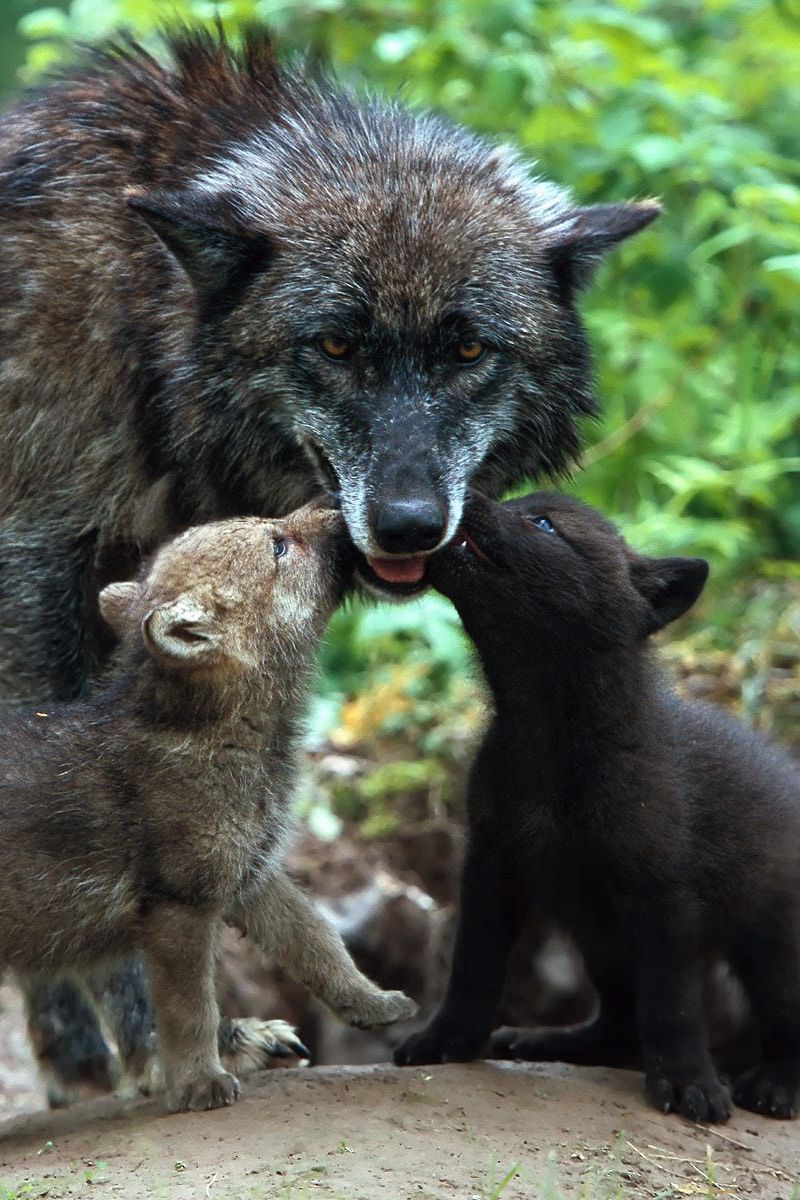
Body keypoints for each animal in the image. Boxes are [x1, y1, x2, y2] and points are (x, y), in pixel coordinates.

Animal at [0, 504, 415, 1112]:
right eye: (278, 546)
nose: (334, 507)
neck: (219, 734)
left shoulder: (252, 874)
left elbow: (320, 945)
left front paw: (375, 1002)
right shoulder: (180, 905)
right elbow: (189, 1007)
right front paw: (201, 1082)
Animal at [394, 492, 800, 1123]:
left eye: (542, 523)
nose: (468, 497)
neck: (551, 741)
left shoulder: (661, 893)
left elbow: (674, 1004)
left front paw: (688, 1083)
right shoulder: (491, 864)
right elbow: (472, 969)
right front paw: (446, 1039)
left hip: (773, 950)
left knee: (781, 1023)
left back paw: (776, 1084)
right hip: (599, 940)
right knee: (618, 1025)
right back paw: (551, 1042)